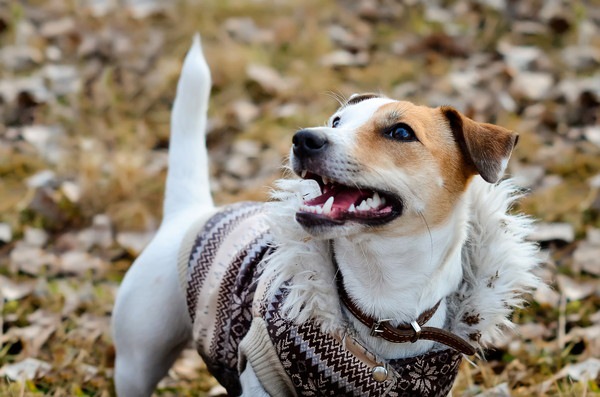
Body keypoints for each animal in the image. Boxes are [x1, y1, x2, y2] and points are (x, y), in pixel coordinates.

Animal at [111, 35, 540, 394]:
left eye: (401, 132)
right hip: (137, 362)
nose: (304, 138)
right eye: (336, 122)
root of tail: (190, 213)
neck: (381, 305)